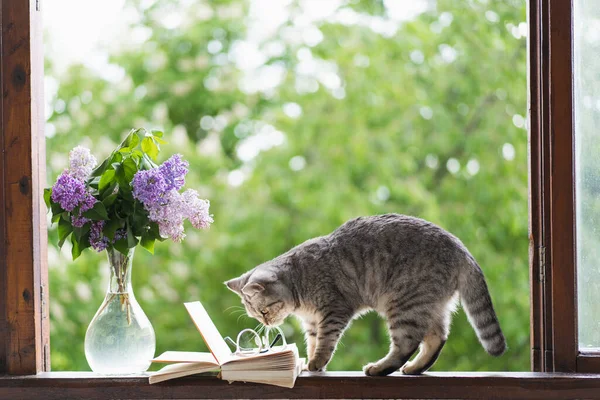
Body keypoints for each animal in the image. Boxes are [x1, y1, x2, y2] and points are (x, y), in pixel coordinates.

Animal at [225, 214, 506, 374]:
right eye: (256, 316)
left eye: (263, 311)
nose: (265, 323)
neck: (299, 282)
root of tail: (461, 248)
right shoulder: (313, 322)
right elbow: (313, 341)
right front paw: (311, 361)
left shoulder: (333, 311)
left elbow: (325, 341)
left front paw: (317, 362)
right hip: (429, 306)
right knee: (437, 338)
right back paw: (414, 368)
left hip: (404, 305)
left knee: (406, 344)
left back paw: (379, 368)